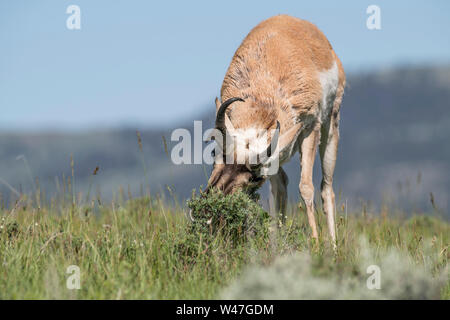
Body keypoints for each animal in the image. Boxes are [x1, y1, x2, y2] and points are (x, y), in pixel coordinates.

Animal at [207, 14, 344, 242]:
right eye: (213, 152)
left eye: (256, 176)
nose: (211, 211)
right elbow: (280, 189)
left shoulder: (309, 129)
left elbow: (306, 188)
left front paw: (315, 243)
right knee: (282, 184)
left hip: (330, 126)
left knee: (326, 188)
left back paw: (332, 245)